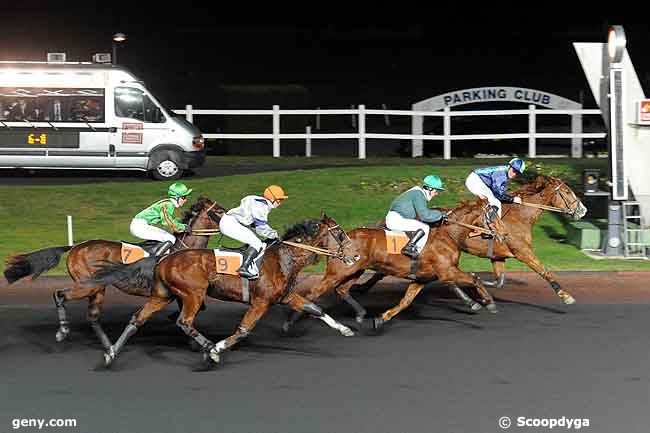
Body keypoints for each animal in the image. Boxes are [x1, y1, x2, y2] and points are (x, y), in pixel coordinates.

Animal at [3, 197, 224, 350]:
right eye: (220, 211)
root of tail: (74, 247)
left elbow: (195, 310)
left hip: (97, 288)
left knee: (92, 316)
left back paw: (108, 346)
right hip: (88, 285)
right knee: (60, 295)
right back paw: (63, 331)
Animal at [85, 214, 354, 366]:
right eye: (340, 234)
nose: (355, 256)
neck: (283, 258)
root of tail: (163, 259)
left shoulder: (285, 296)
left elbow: (315, 309)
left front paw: (345, 329)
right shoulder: (261, 302)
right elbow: (243, 330)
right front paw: (216, 348)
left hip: (162, 295)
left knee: (137, 319)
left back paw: (111, 353)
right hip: (193, 294)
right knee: (184, 321)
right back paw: (208, 349)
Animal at [284, 197, 506, 332]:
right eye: (493, 215)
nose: (504, 234)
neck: (447, 234)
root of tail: (338, 239)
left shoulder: (423, 278)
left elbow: (405, 301)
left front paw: (381, 319)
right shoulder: (448, 271)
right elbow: (475, 279)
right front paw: (488, 303)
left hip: (354, 270)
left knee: (342, 290)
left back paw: (361, 314)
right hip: (337, 272)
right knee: (315, 292)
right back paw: (291, 321)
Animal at [344, 175, 588, 304]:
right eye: (568, 191)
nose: (583, 210)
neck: (520, 216)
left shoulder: (499, 256)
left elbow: (498, 280)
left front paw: (479, 287)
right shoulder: (522, 251)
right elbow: (544, 270)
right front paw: (565, 295)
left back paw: (362, 287)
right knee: (383, 269)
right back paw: (363, 287)